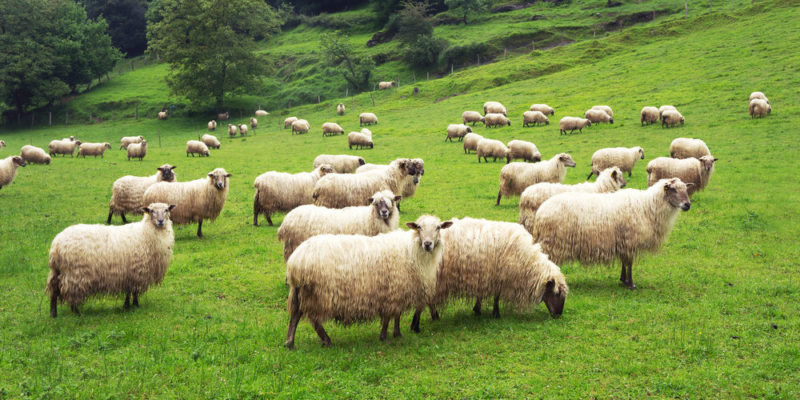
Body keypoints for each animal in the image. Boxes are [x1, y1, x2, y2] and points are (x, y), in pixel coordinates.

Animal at [47, 203, 176, 317]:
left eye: (166, 210)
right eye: (151, 211)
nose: (160, 221)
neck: (145, 233)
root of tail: (56, 244)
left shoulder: (128, 274)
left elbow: (129, 291)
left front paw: (128, 305)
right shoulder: (137, 271)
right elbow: (134, 291)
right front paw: (135, 304)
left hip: (57, 271)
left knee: (54, 290)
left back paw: (54, 314)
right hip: (75, 274)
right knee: (69, 292)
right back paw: (77, 312)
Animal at [284, 215, 453, 348]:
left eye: (438, 227)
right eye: (419, 227)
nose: (428, 244)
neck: (412, 250)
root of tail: (296, 260)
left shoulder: (397, 291)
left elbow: (396, 315)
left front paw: (396, 333)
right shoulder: (393, 291)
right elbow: (389, 316)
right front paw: (385, 336)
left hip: (301, 292)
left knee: (295, 315)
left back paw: (289, 343)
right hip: (318, 294)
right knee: (313, 319)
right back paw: (326, 340)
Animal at [409, 217, 569, 332]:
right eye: (556, 294)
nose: (558, 315)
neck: (526, 260)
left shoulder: (486, 276)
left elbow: (483, 295)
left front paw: (477, 309)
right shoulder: (498, 276)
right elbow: (496, 296)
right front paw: (496, 313)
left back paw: (433, 317)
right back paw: (418, 324)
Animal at [531, 178, 691, 289]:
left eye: (686, 189)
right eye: (673, 189)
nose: (687, 205)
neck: (648, 207)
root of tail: (540, 212)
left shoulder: (623, 242)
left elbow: (624, 262)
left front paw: (623, 280)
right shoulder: (630, 241)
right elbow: (629, 263)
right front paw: (631, 284)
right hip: (551, 243)